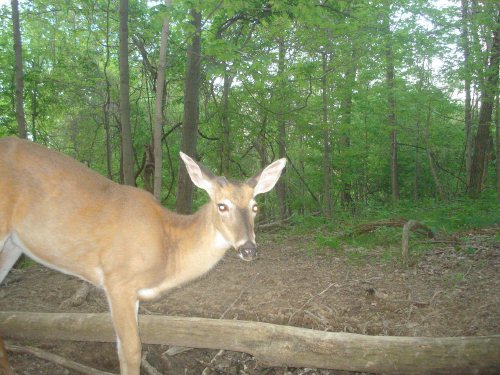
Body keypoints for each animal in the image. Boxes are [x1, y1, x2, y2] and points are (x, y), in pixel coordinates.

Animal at [0, 138, 286, 375]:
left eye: (255, 207)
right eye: (222, 206)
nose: (249, 249)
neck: (167, 248)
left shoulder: (133, 293)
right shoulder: (118, 280)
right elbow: (131, 350)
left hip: (14, 244)